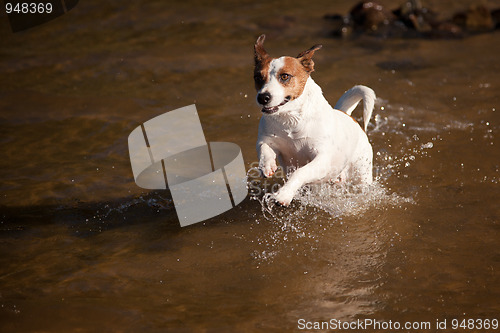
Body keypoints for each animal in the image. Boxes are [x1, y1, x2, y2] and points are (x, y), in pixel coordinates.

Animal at [254, 34, 376, 205]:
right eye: (258, 77)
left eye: (284, 76)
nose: (262, 97)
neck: (291, 119)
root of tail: (347, 115)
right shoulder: (267, 139)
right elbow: (264, 149)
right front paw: (267, 165)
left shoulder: (321, 160)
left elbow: (300, 172)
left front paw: (283, 195)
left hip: (361, 172)